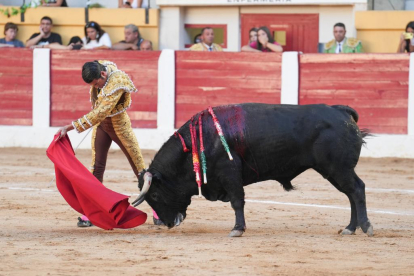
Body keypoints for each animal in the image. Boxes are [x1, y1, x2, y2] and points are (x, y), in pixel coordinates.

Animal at [134, 103, 374, 237]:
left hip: (338, 168)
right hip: (334, 171)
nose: (166, 223)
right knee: (351, 194)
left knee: (357, 190)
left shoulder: (230, 173)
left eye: (155, 195)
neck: (197, 143)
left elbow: (237, 201)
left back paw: (365, 227)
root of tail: (341, 111)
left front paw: (237, 229)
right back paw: (350, 228)